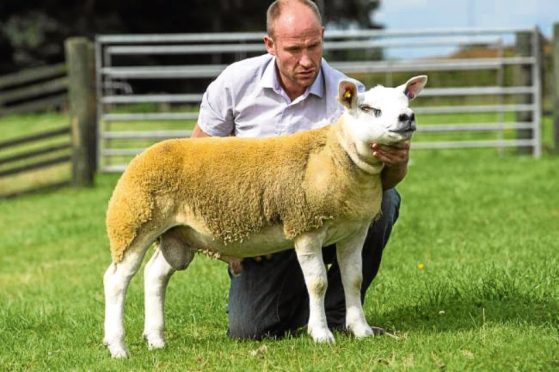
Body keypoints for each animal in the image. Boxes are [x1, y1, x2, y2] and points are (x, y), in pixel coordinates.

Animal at [104, 75, 428, 358]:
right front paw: (321, 334)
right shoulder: (305, 226)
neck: (337, 155)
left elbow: (354, 279)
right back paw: (117, 347)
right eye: (368, 108)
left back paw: (156, 340)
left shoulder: (355, 231)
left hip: (177, 235)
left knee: (154, 276)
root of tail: (143, 155)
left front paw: (361, 330)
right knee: (117, 280)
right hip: (133, 223)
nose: (407, 117)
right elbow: (318, 283)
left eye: (406, 100)